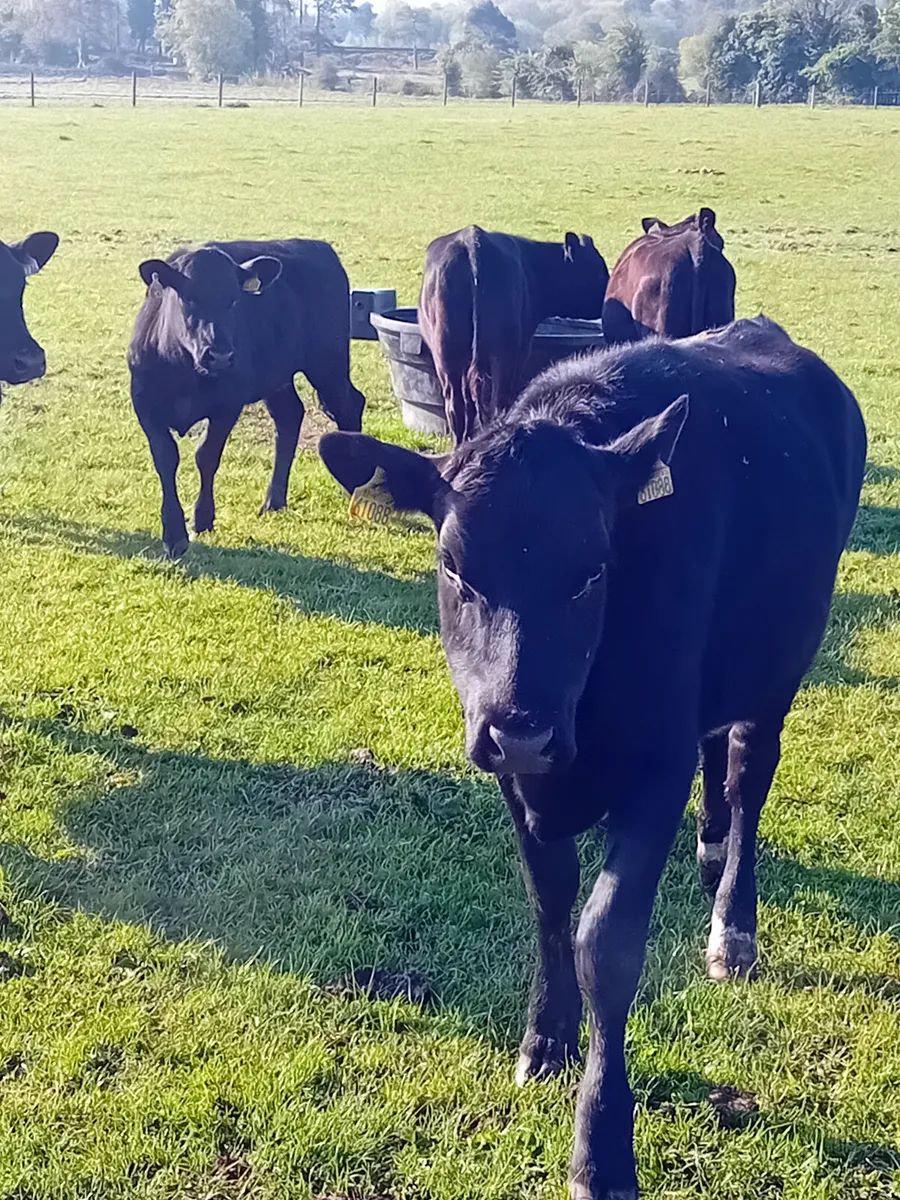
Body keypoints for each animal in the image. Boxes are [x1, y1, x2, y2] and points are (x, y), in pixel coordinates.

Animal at [127, 237, 367, 556]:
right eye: (189, 298)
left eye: (233, 300)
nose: (220, 355)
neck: (185, 370)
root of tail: (315, 245)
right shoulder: (144, 403)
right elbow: (166, 458)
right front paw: (174, 533)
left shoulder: (228, 404)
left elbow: (206, 455)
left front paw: (202, 519)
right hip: (280, 377)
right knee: (290, 417)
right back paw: (273, 501)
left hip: (329, 363)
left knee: (350, 407)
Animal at [321, 319, 868, 1200]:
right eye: (453, 567)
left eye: (591, 572)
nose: (522, 728)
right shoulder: (517, 778)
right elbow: (550, 904)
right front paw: (545, 1043)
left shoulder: (653, 769)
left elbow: (605, 945)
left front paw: (601, 1146)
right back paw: (709, 845)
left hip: (778, 669)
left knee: (747, 771)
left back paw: (734, 923)